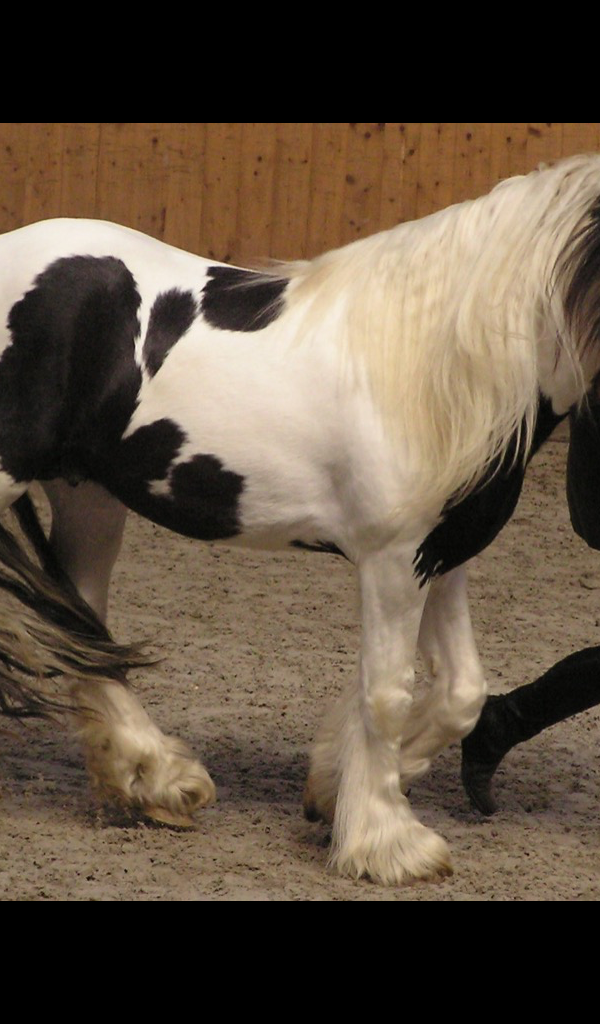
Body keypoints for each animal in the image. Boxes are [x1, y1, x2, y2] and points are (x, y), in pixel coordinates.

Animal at [2, 153, 600, 886]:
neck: (443, 365)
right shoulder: (393, 560)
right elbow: (387, 693)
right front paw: (387, 844)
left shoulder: (443, 552)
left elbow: (460, 691)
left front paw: (331, 787)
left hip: (87, 498)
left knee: (80, 628)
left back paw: (157, 779)